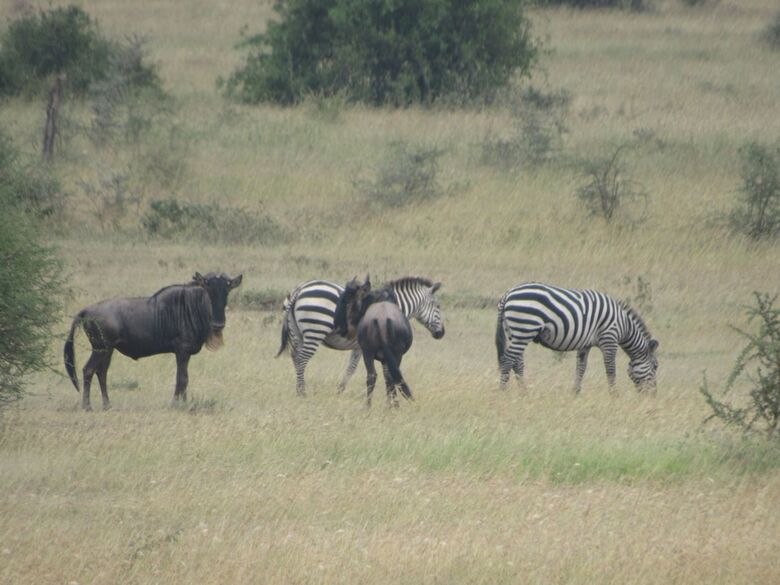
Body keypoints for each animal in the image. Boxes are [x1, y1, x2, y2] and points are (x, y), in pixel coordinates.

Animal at [277, 276, 445, 395]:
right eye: (438, 306)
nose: (441, 333)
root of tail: (300, 289)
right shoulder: (382, 346)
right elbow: (385, 372)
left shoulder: (360, 346)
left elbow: (351, 368)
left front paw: (340, 390)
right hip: (315, 331)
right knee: (302, 359)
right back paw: (302, 392)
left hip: (297, 333)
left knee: (295, 357)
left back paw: (299, 389)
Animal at [495, 282, 659, 392]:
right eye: (656, 366)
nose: (653, 395)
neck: (624, 325)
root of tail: (508, 294)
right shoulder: (609, 339)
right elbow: (611, 369)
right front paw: (614, 395)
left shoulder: (585, 344)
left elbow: (581, 368)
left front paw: (576, 392)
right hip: (525, 329)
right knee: (507, 360)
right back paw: (503, 391)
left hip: (514, 332)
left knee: (517, 362)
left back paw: (524, 393)